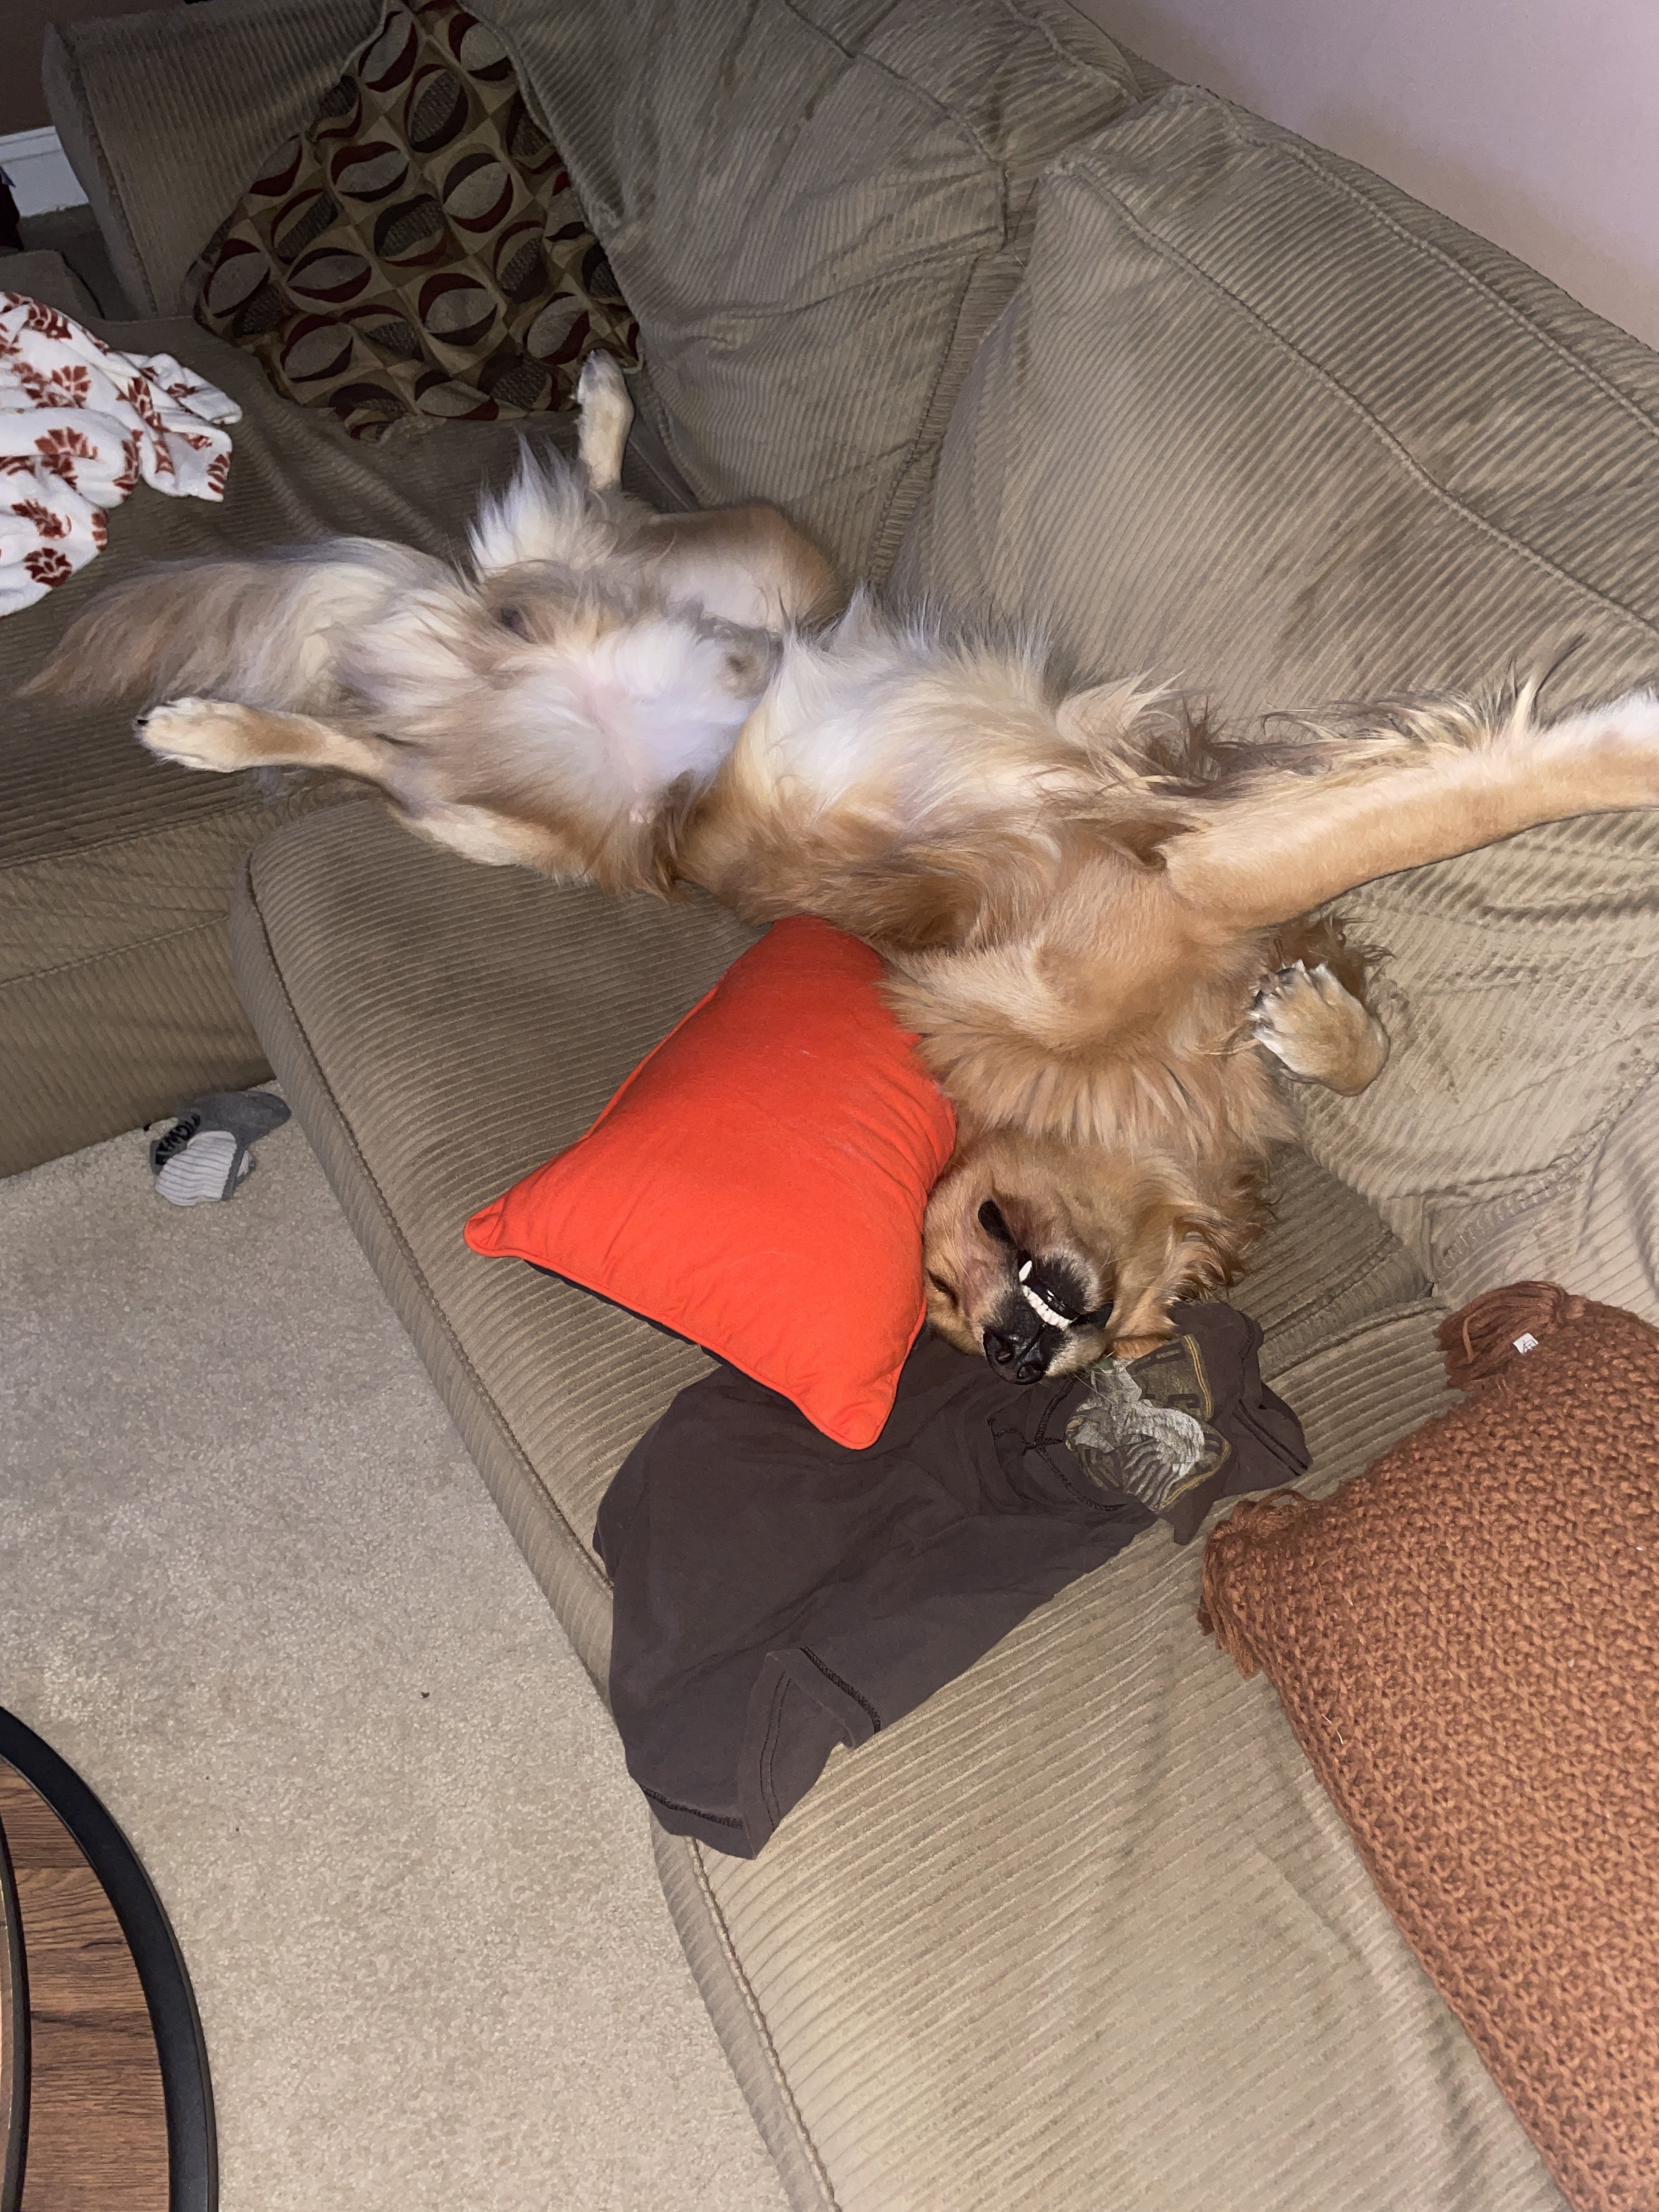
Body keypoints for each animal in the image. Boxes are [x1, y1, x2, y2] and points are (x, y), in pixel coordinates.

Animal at [32, 354, 1659, 1376]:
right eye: (942, 1292)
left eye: (981, 1238)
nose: (1007, 1350)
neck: (1135, 1077)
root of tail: (505, 668)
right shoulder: (1195, 863)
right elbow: (1426, 811)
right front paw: (1615, 748)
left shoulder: (1203, 839)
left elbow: (1360, 932)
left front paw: (1319, 1016)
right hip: (490, 807)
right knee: (379, 724)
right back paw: (210, 726)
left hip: (764, 577)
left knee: (542, 559)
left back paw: (595, 416)